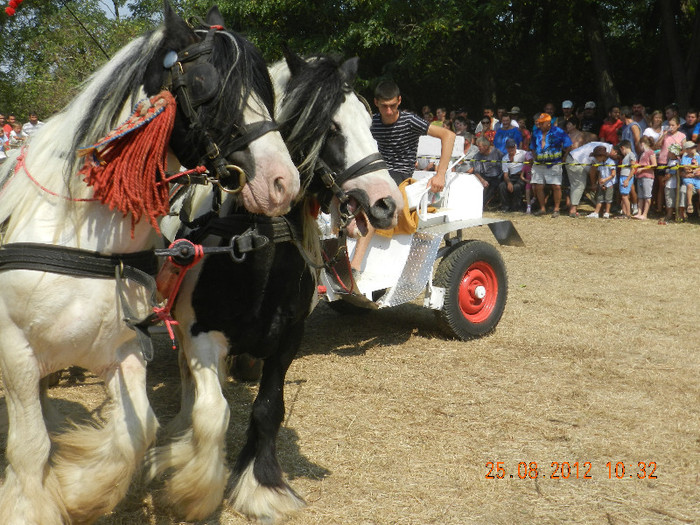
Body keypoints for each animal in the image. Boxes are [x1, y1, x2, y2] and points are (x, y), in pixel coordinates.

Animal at [0, 5, 298, 524]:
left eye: (267, 92)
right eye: (206, 87)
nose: (284, 182)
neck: (79, 235)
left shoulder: (124, 349)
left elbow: (137, 432)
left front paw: (79, 490)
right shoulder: (15, 349)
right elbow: (29, 447)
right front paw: (34, 504)